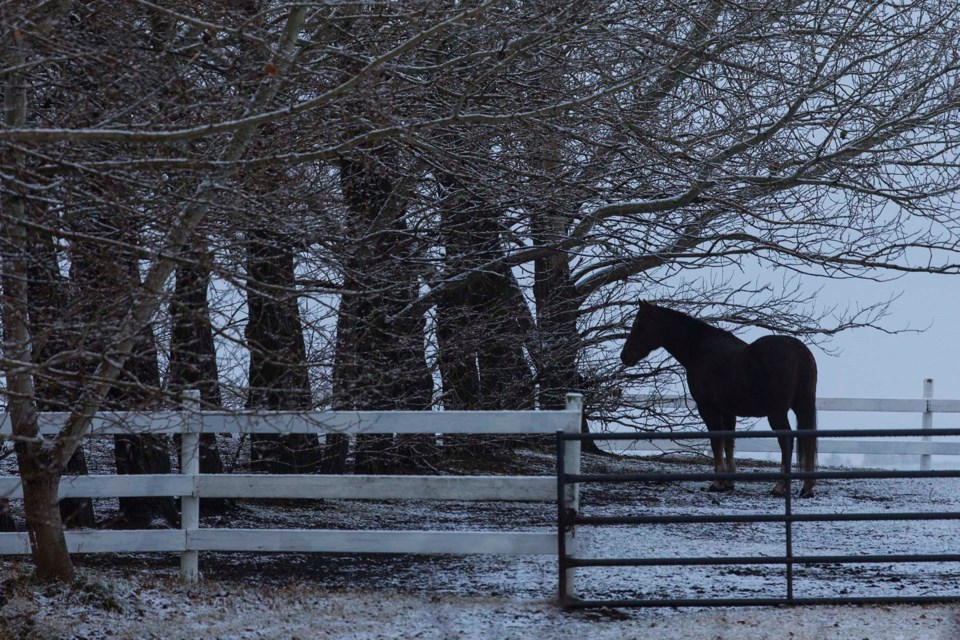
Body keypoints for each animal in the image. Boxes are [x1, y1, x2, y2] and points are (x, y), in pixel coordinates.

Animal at [624, 302, 816, 498]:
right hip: (802, 405)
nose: (625, 356)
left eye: (641, 326)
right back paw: (807, 487)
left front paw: (717, 483)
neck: (701, 350)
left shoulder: (708, 409)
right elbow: (729, 442)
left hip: (776, 413)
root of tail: (798, 351)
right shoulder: (728, 411)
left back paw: (780, 486)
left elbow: (716, 443)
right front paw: (729, 482)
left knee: (786, 441)